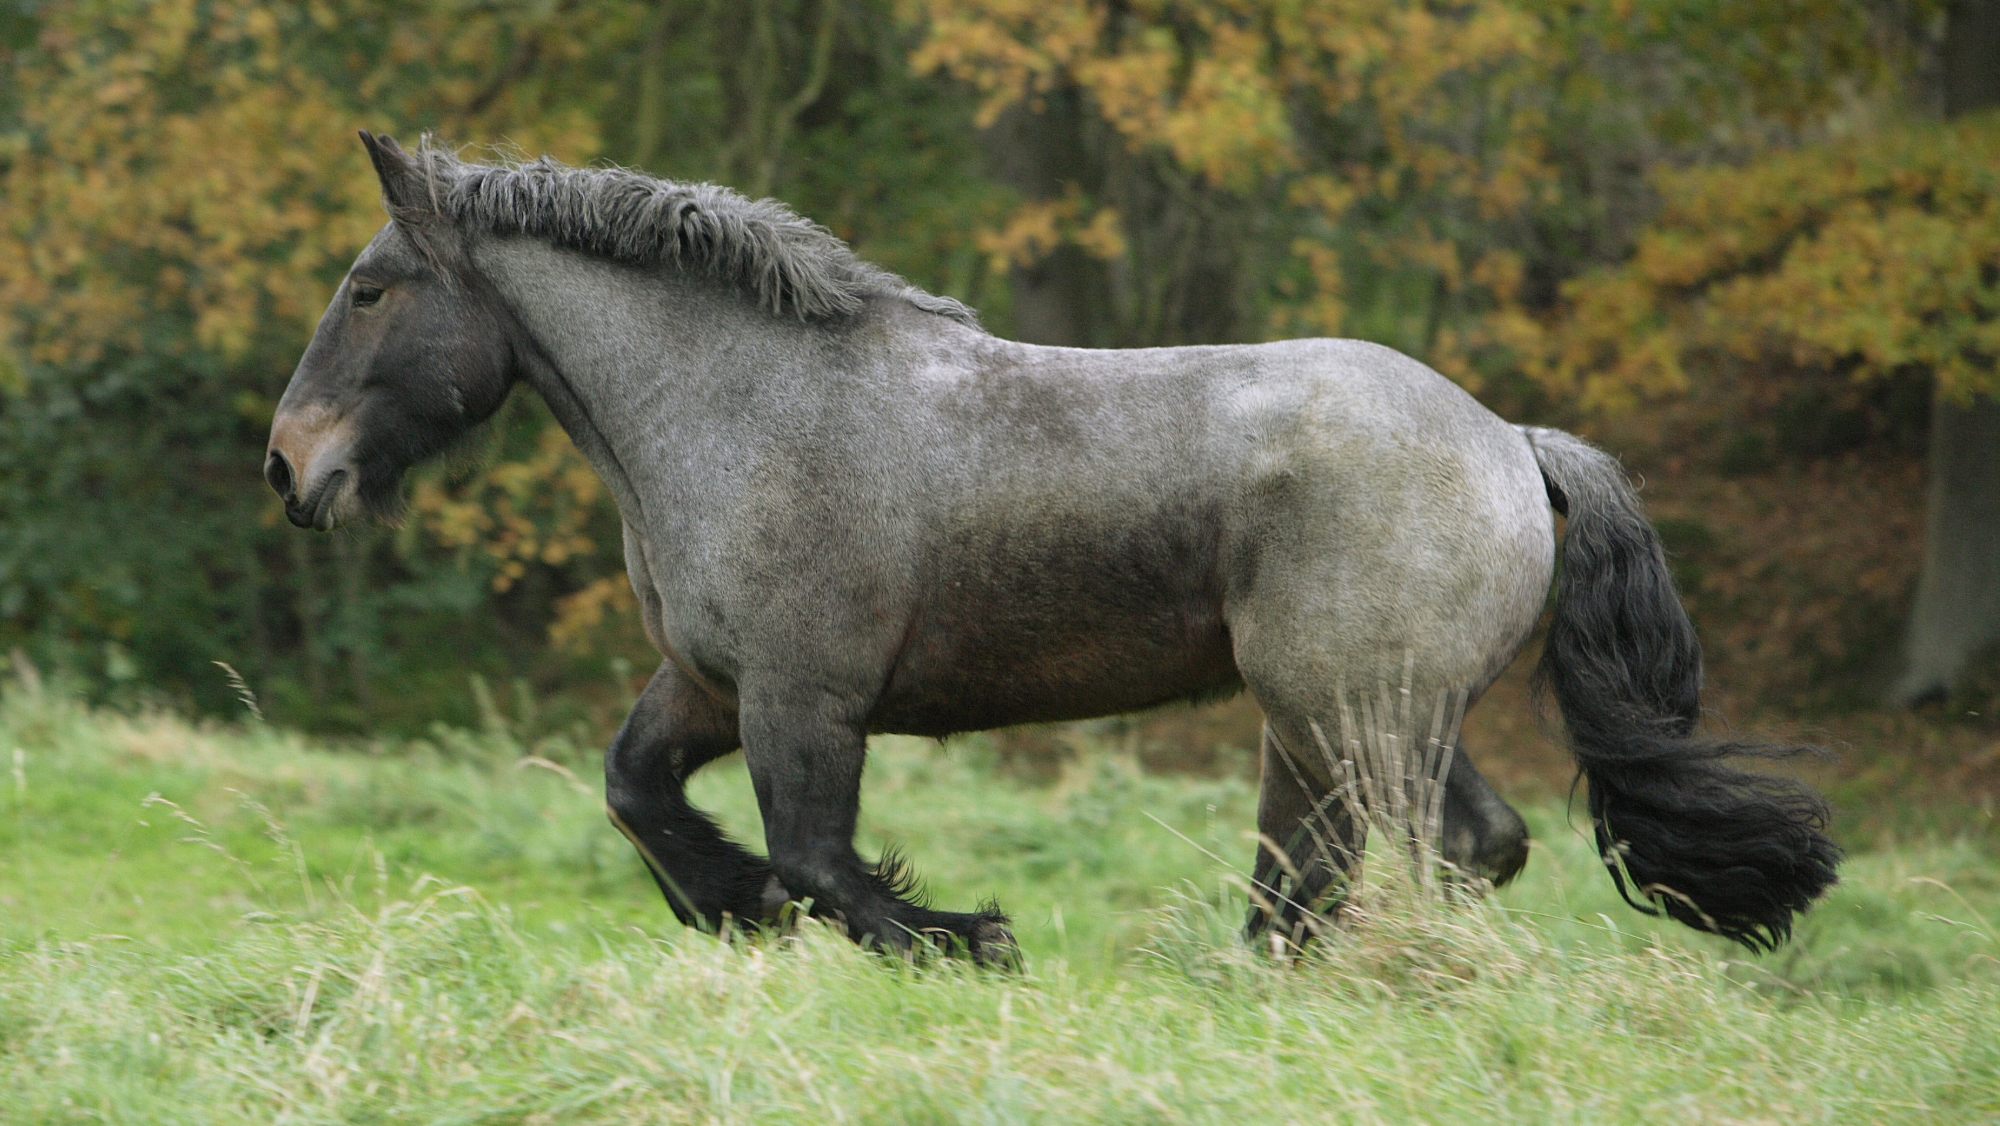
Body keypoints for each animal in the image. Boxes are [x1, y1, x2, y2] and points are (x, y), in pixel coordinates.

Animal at [266, 133, 1840, 962]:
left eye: (368, 287)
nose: (290, 468)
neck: (743, 403)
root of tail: (1512, 441)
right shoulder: (710, 686)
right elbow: (641, 794)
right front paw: (735, 908)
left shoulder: (803, 698)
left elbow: (822, 862)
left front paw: (966, 934)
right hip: (1344, 715)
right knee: (1416, 854)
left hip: (1352, 712)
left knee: (1405, 858)